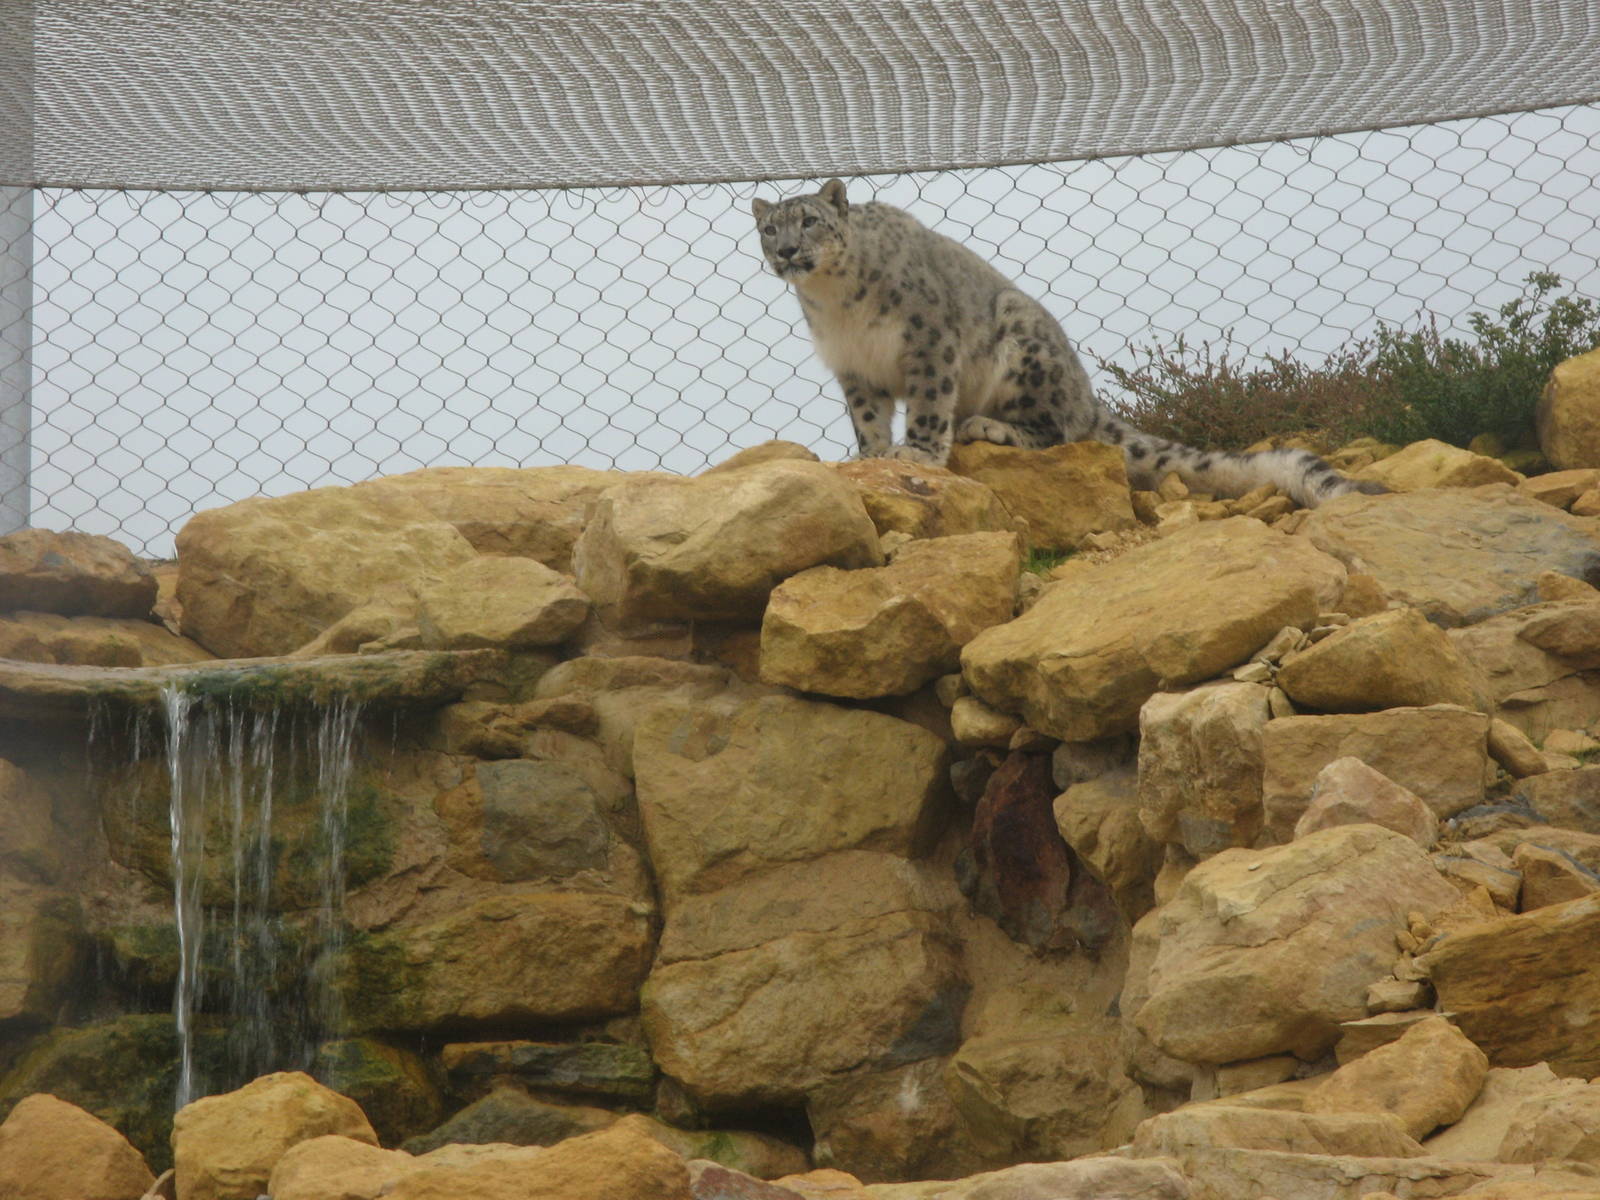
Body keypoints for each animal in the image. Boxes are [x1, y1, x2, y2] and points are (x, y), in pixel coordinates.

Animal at [751, 178, 1385, 508]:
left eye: (809, 220)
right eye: (768, 227)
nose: (785, 251)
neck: (837, 301)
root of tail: (1089, 397)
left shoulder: (930, 341)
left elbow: (930, 403)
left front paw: (920, 453)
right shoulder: (855, 368)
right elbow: (867, 418)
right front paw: (872, 455)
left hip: (1024, 348)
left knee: (1059, 431)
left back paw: (988, 426)